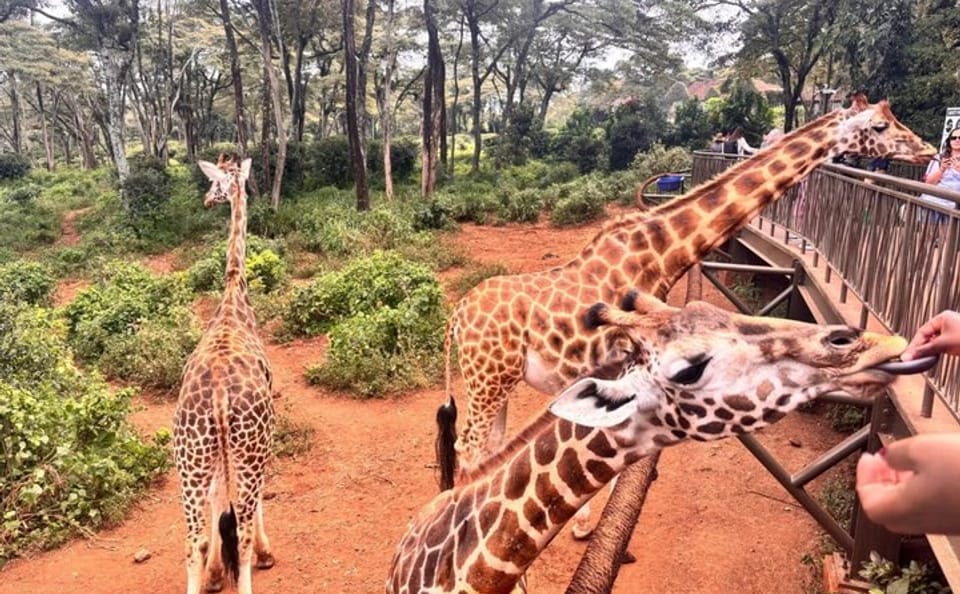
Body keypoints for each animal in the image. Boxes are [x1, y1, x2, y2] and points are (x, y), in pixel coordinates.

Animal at [438, 94, 935, 514]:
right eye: (880, 125)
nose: (928, 151)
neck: (659, 252)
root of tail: (456, 317)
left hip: (498, 381)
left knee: (487, 447)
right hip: (487, 380)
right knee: (468, 447)